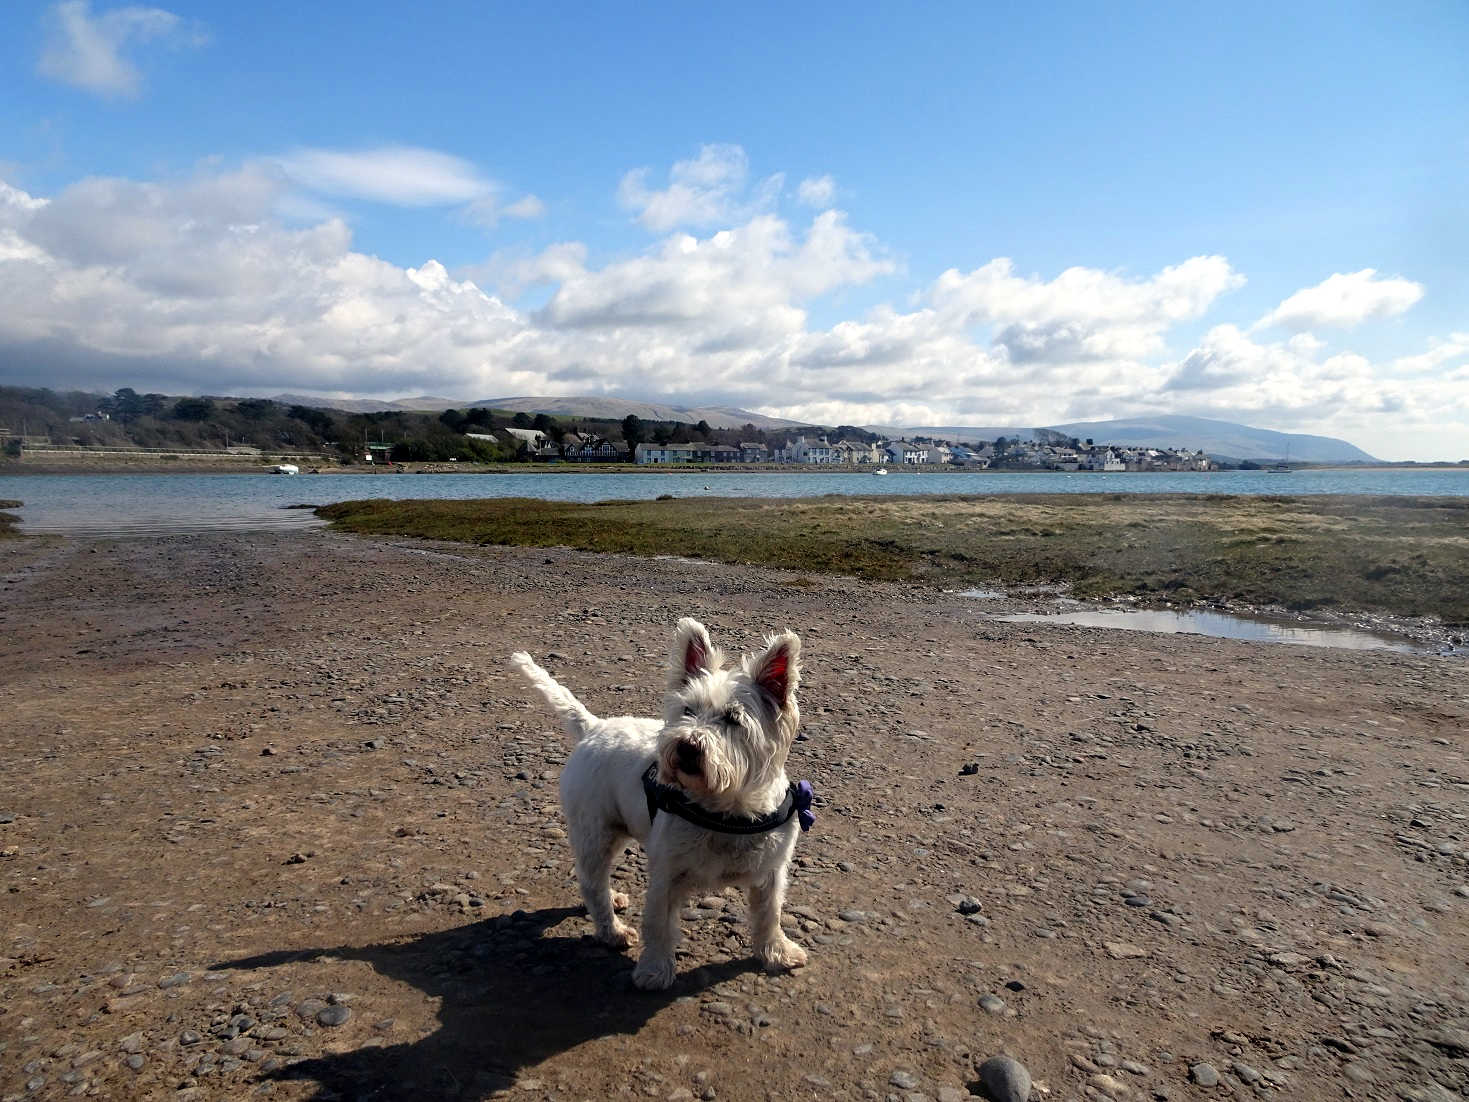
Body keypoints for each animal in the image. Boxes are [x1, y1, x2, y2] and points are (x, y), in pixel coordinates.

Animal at [511, 622, 816, 993]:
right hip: (595, 833)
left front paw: (777, 953)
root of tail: (594, 727)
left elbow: (770, 915)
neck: (725, 810)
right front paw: (654, 971)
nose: (686, 747)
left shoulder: (771, 873)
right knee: (591, 881)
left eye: (732, 718)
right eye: (688, 710)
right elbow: (658, 925)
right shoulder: (666, 875)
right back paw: (613, 931)